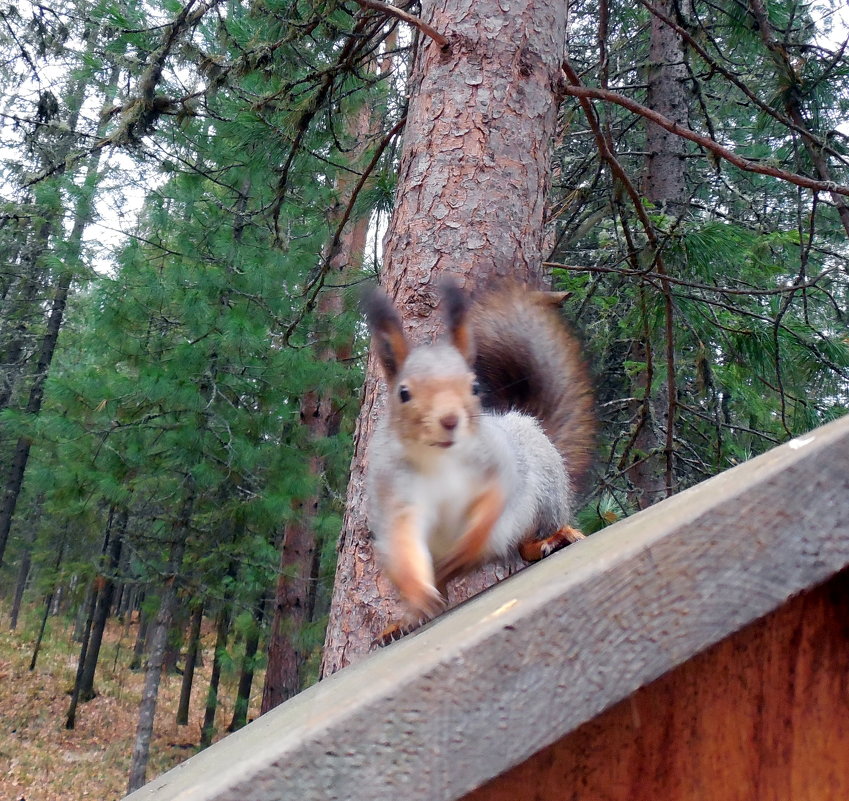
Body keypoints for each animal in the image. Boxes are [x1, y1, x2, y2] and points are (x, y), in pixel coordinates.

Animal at [364, 278, 596, 616]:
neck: (441, 458)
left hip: (546, 492)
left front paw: (465, 550)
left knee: (529, 540)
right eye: (403, 393)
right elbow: (404, 543)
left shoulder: (496, 469)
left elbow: (489, 513)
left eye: (473, 387)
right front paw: (419, 595)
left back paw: (553, 538)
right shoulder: (398, 495)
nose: (449, 419)